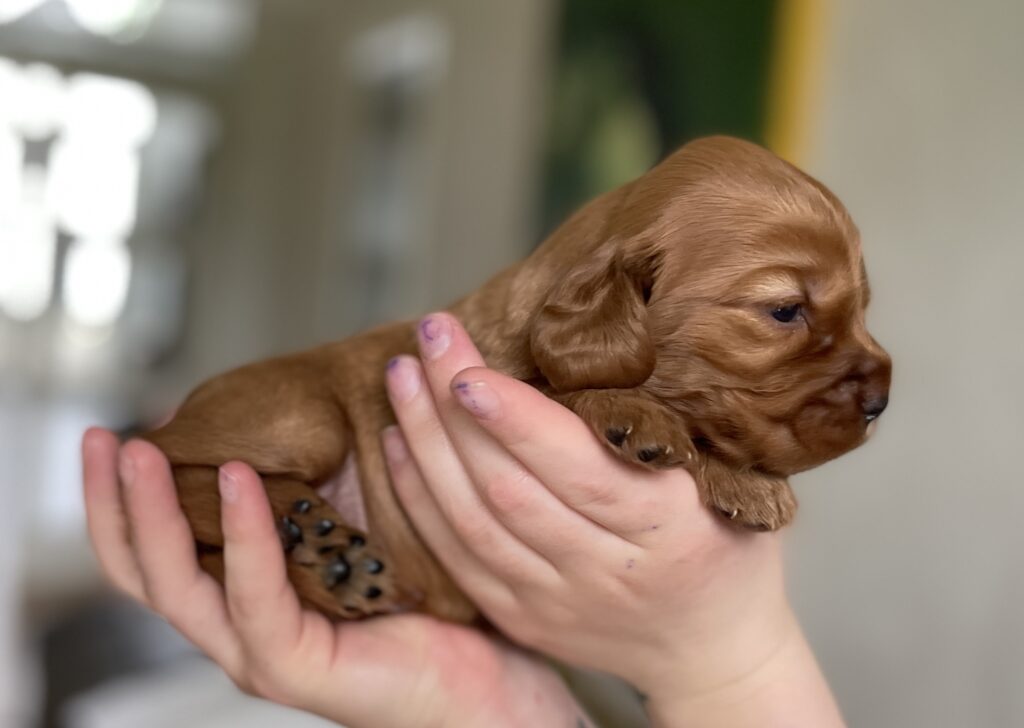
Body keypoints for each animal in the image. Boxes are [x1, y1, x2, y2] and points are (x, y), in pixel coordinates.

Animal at [144, 138, 888, 626]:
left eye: (864, 308)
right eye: (785, 311)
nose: (881, 399)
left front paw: (751, 478)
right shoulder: (482, 378)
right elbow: (559, 388)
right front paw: (721, 466)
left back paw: (328, 569)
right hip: (307, 423)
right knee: (174, 462)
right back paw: (298, 523)